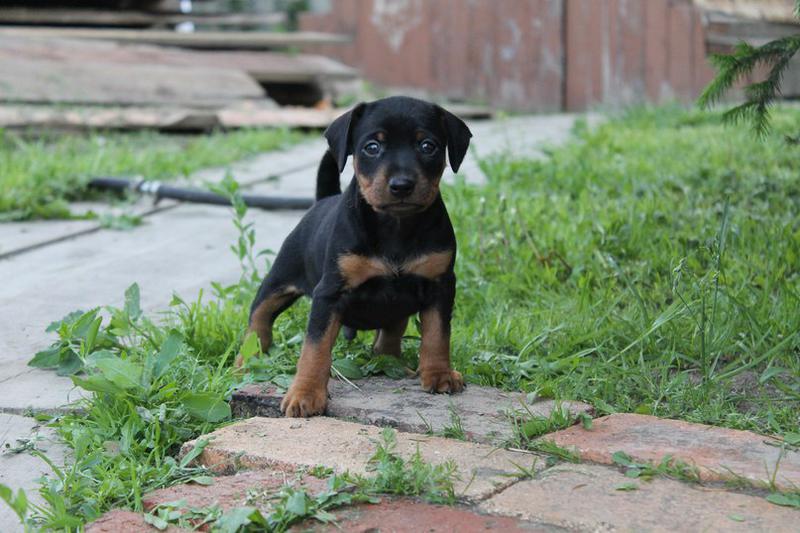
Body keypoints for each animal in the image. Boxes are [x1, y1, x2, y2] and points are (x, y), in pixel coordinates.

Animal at [242, 95, 468, 416]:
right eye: (372, 147)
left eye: (428, 146)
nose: (402, 185)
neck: (395, 225)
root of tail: (323, 200)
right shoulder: (329, 294)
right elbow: (315, 347)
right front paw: (305, 394)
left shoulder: (440, 285)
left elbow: (438, 334)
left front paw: (439, 374)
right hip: (279, 280)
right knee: (258, 319)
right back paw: (245, 361)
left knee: (390, 333)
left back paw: (394, 362)